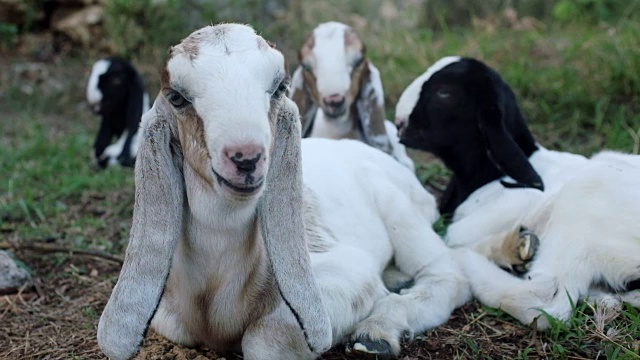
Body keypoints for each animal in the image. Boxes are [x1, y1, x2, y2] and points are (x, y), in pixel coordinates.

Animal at [396, 56, 640, 330]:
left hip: (581, 203)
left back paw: (469, 257)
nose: (399, 124)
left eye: (443, 92)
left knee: (544, 298)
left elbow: (453, 234)